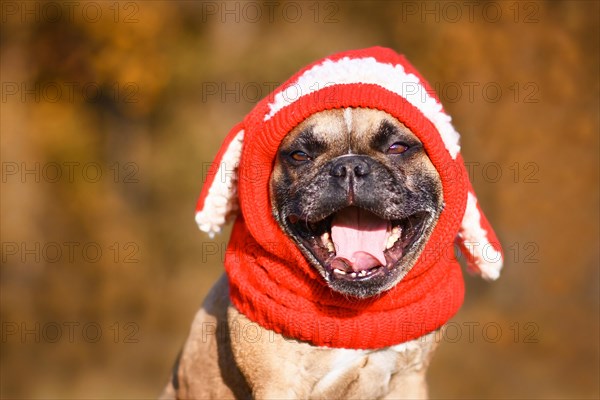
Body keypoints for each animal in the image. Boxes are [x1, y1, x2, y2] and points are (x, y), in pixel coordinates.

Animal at [159, 46, 502, 396]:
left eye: (398, 147)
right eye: (299, 155)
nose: (349, 166)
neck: (354, 311)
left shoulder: (409, 380)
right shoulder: (278, 384)